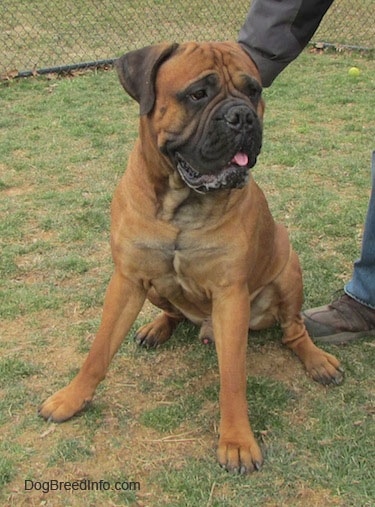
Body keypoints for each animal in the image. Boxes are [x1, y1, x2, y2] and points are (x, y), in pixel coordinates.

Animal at [39, 41, 346, 474]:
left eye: (253, 90)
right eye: (198, 94)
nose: (242, 116)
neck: (180, 203)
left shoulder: (230, 295)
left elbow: (232, 378)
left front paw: (237, 441)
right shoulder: (127, 279)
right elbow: (98, 351)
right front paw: (71, 398)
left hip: (288, 269)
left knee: (294, 330)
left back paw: (317, 361)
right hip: (156, 289)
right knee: (173, 311)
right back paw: (157, 328)